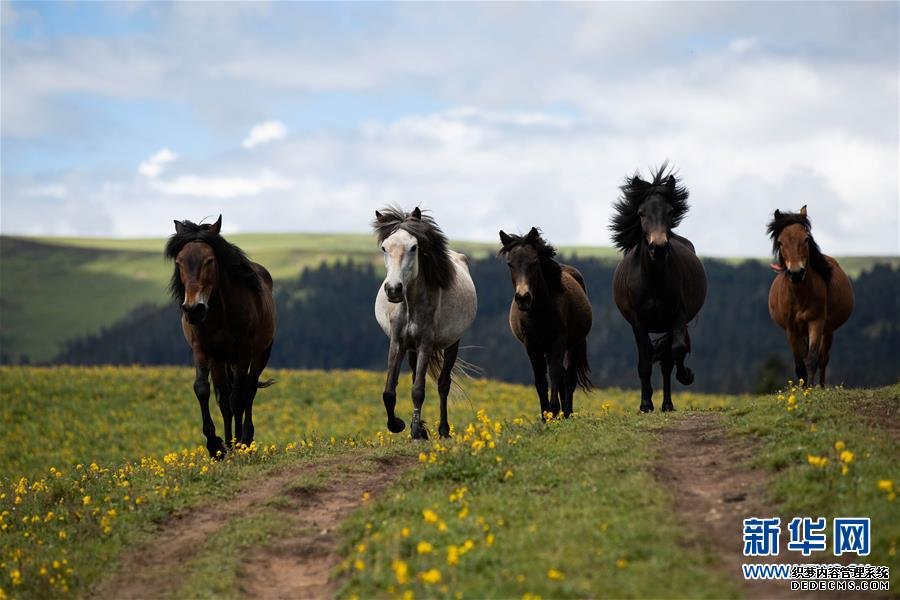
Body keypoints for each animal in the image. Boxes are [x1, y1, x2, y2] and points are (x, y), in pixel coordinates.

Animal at [165, 216, 276, 454]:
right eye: (179, 262)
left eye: (209, 261)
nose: (193, 309)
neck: (220, 315)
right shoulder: (204, 351)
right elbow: (203, 390)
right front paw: (216, 445)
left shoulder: (243, 352)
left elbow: (238, 398)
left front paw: (238, 444)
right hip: (222, 361)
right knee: (225, 400)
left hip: (260, 353)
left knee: (248, 390)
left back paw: (245, 438)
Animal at [372, 209, 478, 438]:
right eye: (384, 247)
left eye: (414, 247)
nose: (393, 289)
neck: (411, 305)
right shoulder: (398, 342)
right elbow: (389, 391)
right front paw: (399, 425)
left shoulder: (426, 344)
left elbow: (418, 390)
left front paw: (414, 433)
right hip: (411, 349)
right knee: (414, 376)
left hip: (451, 344)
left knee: (443, 384)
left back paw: (443, 430)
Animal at [500, 227, 592, 420]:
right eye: (510, 263)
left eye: (534, 261)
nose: (523, 298)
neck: (540, 311)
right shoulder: (531, 344)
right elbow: (540, 379)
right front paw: (545, 415)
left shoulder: (559, 340)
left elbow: (555, 374)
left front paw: (554, 410)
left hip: (575, 344)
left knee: (569, 378)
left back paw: (567, 413)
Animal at [608, 166, 708, 414]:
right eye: (641, 213)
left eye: (670, 211)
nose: (659, 247)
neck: (653, 279)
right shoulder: (638, 322)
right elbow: (645, 361)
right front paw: (645, 404)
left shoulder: (677, 317)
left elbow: (675, 352)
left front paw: (686, 376)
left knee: (668, 361)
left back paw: (668, 404)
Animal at [768, 205, 856, 384]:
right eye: (780, 242)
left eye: (806, 239)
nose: (796, 273)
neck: (800, 296)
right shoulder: (791, 329)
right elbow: (799, 364)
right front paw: (802, 387)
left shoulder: (816, 322)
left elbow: (811, 359)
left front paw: (810, 388)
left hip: (828, 330)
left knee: (823, 359)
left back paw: (821, 386)